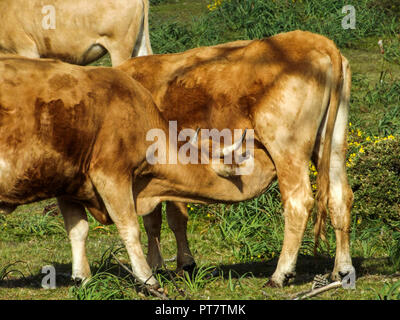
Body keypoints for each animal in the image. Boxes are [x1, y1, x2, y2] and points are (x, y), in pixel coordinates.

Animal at [118, 30, 354, 288]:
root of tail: (317, 41)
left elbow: (155, 220)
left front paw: (157, 266)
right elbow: (174, 217)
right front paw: (183, 265)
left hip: (287, 147)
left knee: (298, 202)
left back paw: (280, 274)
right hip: (333, 146)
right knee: (340, 197)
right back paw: (342, 270)